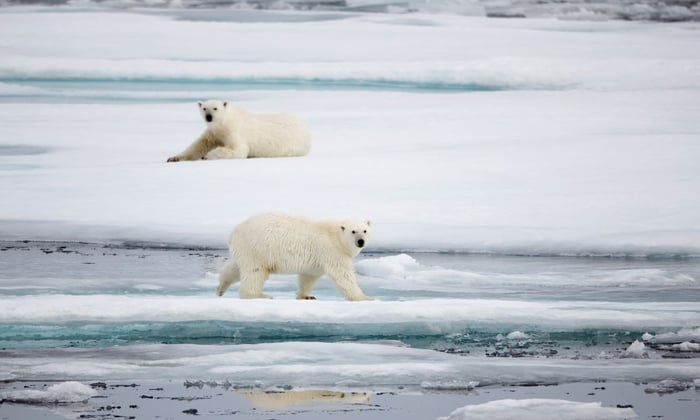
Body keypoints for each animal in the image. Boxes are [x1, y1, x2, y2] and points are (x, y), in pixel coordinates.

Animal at [166, 100, 311, 162]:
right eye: (204, 108)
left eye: (215, 108)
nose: (209, 117)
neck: (224, 123)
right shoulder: (213, 133)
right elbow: (199, 145)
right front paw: (174, 158)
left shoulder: (234, 131)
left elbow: (239, 149)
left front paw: (207, 156)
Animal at [216, 212, 373, 301]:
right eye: (353, 231)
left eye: (365, 230)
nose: (361, 241)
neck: (335, 236)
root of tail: (233, 232)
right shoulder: (331, 251)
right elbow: (343, 275)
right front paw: (365, 297)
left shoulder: (316, 259)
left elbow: (309, 276)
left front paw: (306, 295)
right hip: (256, 247)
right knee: (255, 273)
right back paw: (260, 295)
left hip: (246, 250)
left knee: (236, 268)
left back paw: (221, 287)